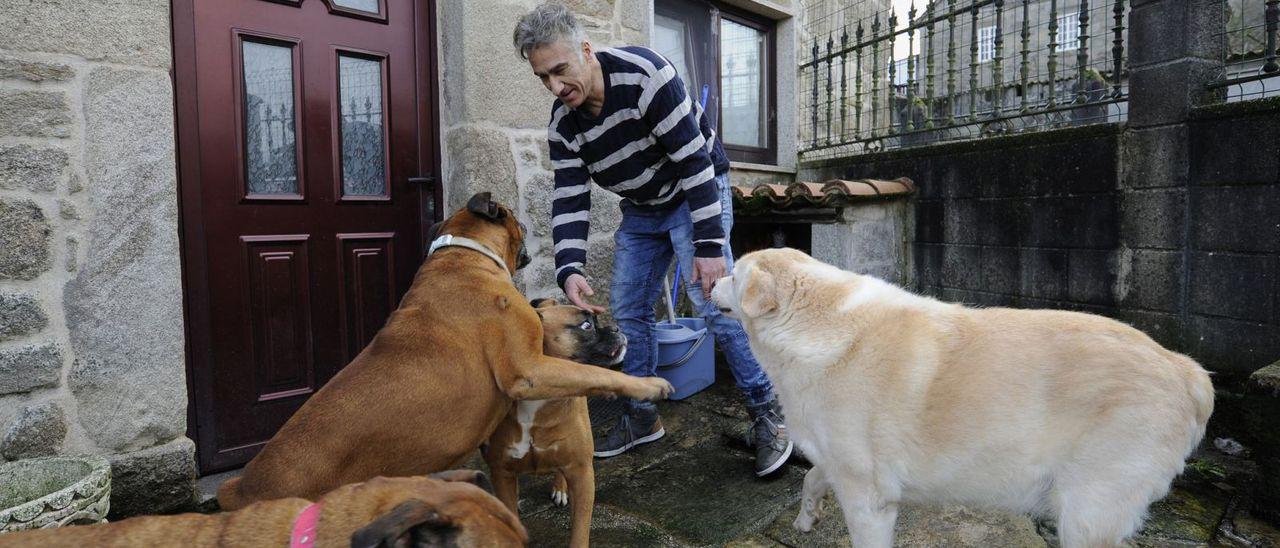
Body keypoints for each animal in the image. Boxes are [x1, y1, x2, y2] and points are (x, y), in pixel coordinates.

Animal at [481, 299, 622, 548]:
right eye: (586, 325)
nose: (616, 328)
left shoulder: (582, 474)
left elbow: (579, 532)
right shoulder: (501, 471)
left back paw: (560, 487)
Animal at [716, 248, 1213, 548]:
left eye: (733, 273)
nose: (708, 280)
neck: (816, 324)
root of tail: (1186, 368)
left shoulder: (868, 500)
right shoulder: (842, 466)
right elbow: (811, 478)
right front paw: (807, 517)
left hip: (1087, 516)